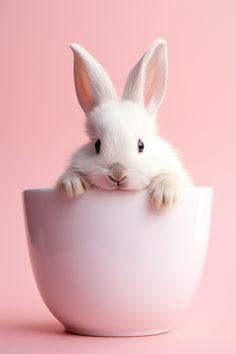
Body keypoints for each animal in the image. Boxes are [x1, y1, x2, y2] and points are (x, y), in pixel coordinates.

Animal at [57, 38, 192, 209]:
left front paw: (164, 195)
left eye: (141, 145)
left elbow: (169, 176)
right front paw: (73, 185)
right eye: (97, 145)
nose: (117, 173)